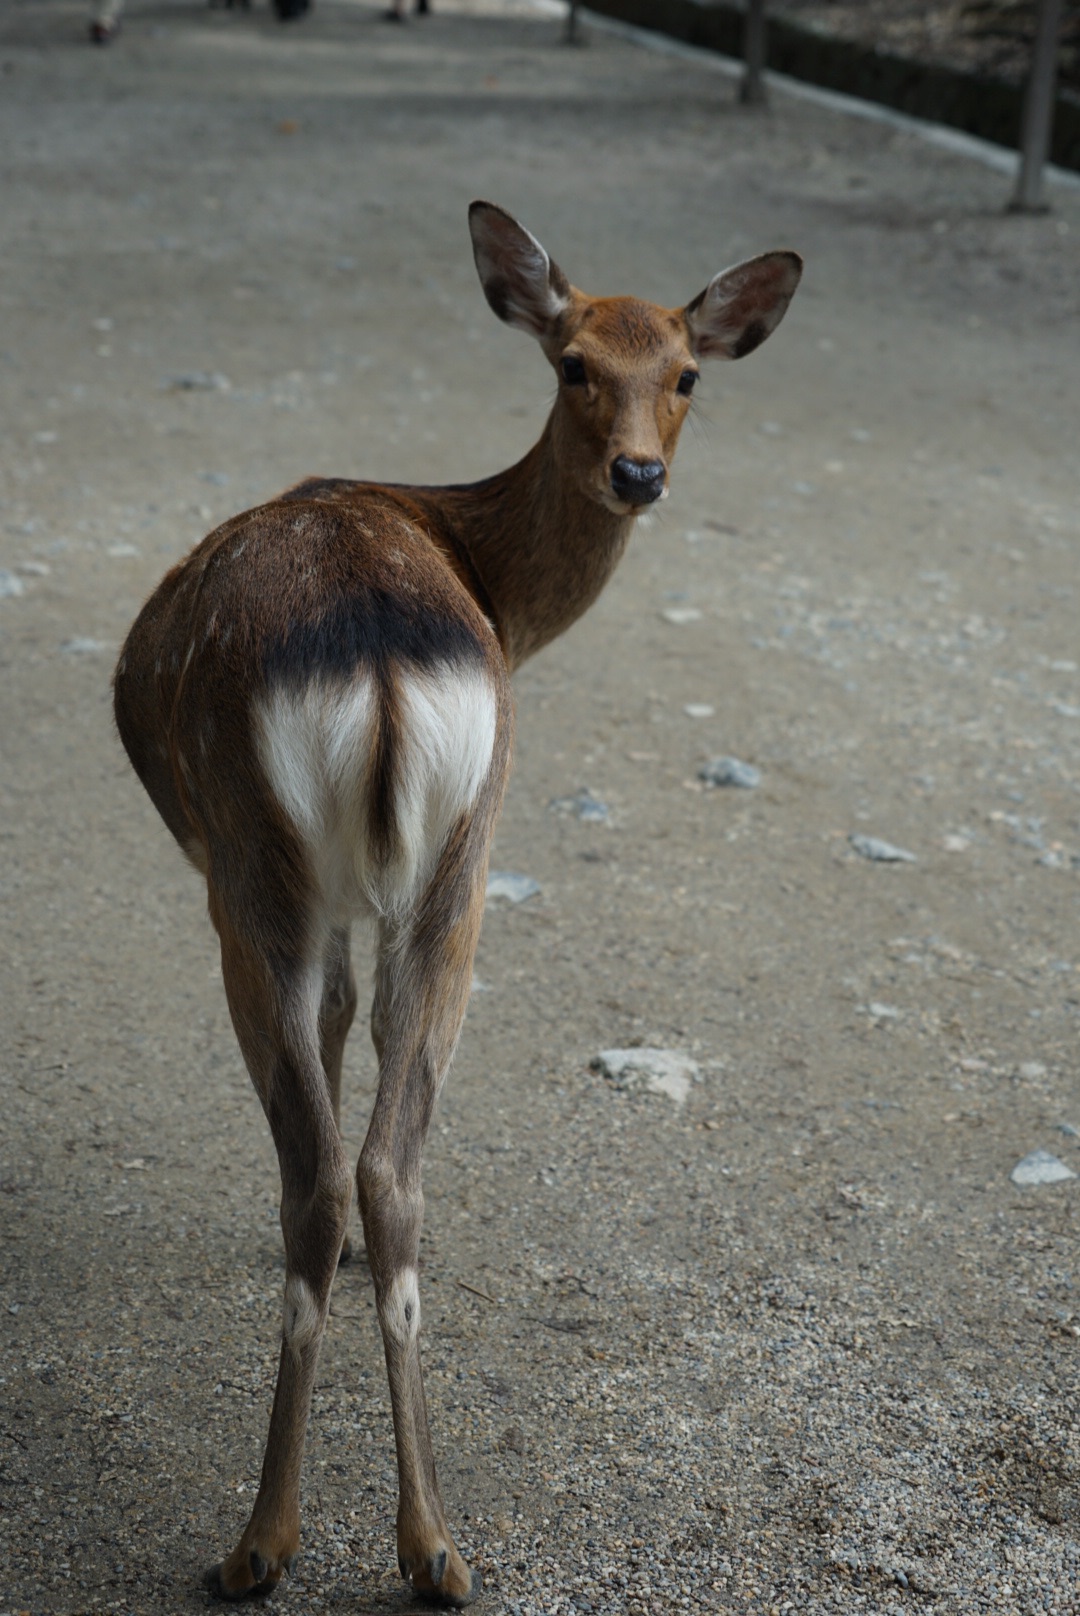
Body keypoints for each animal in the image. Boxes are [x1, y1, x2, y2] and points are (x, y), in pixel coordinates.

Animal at [111, 202, 801, 1603]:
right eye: (574, 362)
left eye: (687, 374)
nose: (639, 474)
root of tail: (378, 648)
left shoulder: (311, 897)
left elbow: (333, 1038)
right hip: (462, 861)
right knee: (389, 1161)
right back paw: (432, 1543)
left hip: (256, 873)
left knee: (322, 1167)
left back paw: (262, 1541)